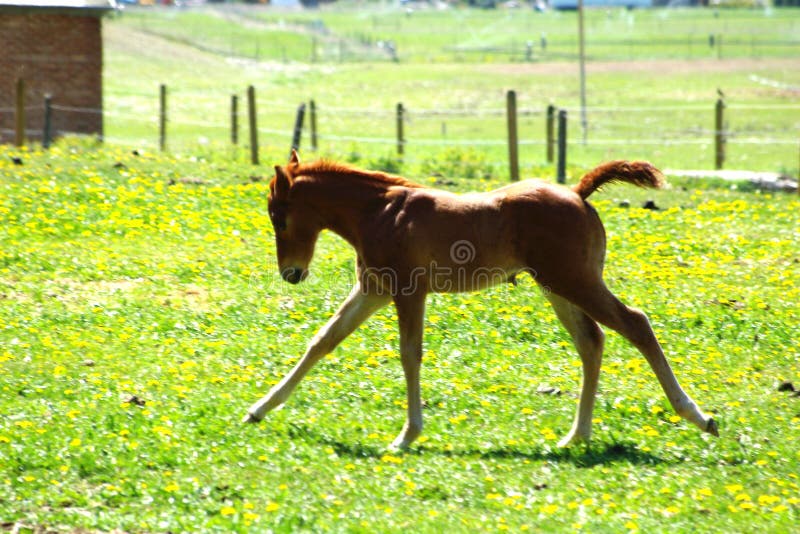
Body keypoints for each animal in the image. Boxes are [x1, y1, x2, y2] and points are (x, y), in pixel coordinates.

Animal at [245, 152, 720, 452]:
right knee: (592, 341)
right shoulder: (373, 289)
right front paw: (259, 409)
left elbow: (409, 354)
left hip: (572, 281)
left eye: (278, 217)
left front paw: (406, 436)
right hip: (557, 287)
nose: (291, 273)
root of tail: (578, 193)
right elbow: (322, 341)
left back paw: (697, 416)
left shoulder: (407, 290)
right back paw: (576, 436)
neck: (379, 212)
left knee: (635, 323)